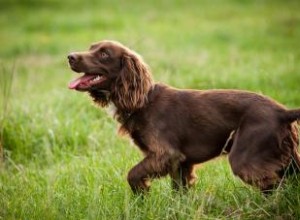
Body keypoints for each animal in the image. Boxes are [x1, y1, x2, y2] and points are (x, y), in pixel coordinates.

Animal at [67, 40, 300, 193]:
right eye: (90, 48)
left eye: (104, 54)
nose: (70, 56)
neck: (143, 101)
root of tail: (282, 112)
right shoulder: (181, 163)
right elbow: (179, 192)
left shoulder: (166, 154)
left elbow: (132, 174)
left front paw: (141, 194)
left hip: (245, 157)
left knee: (275, 186)